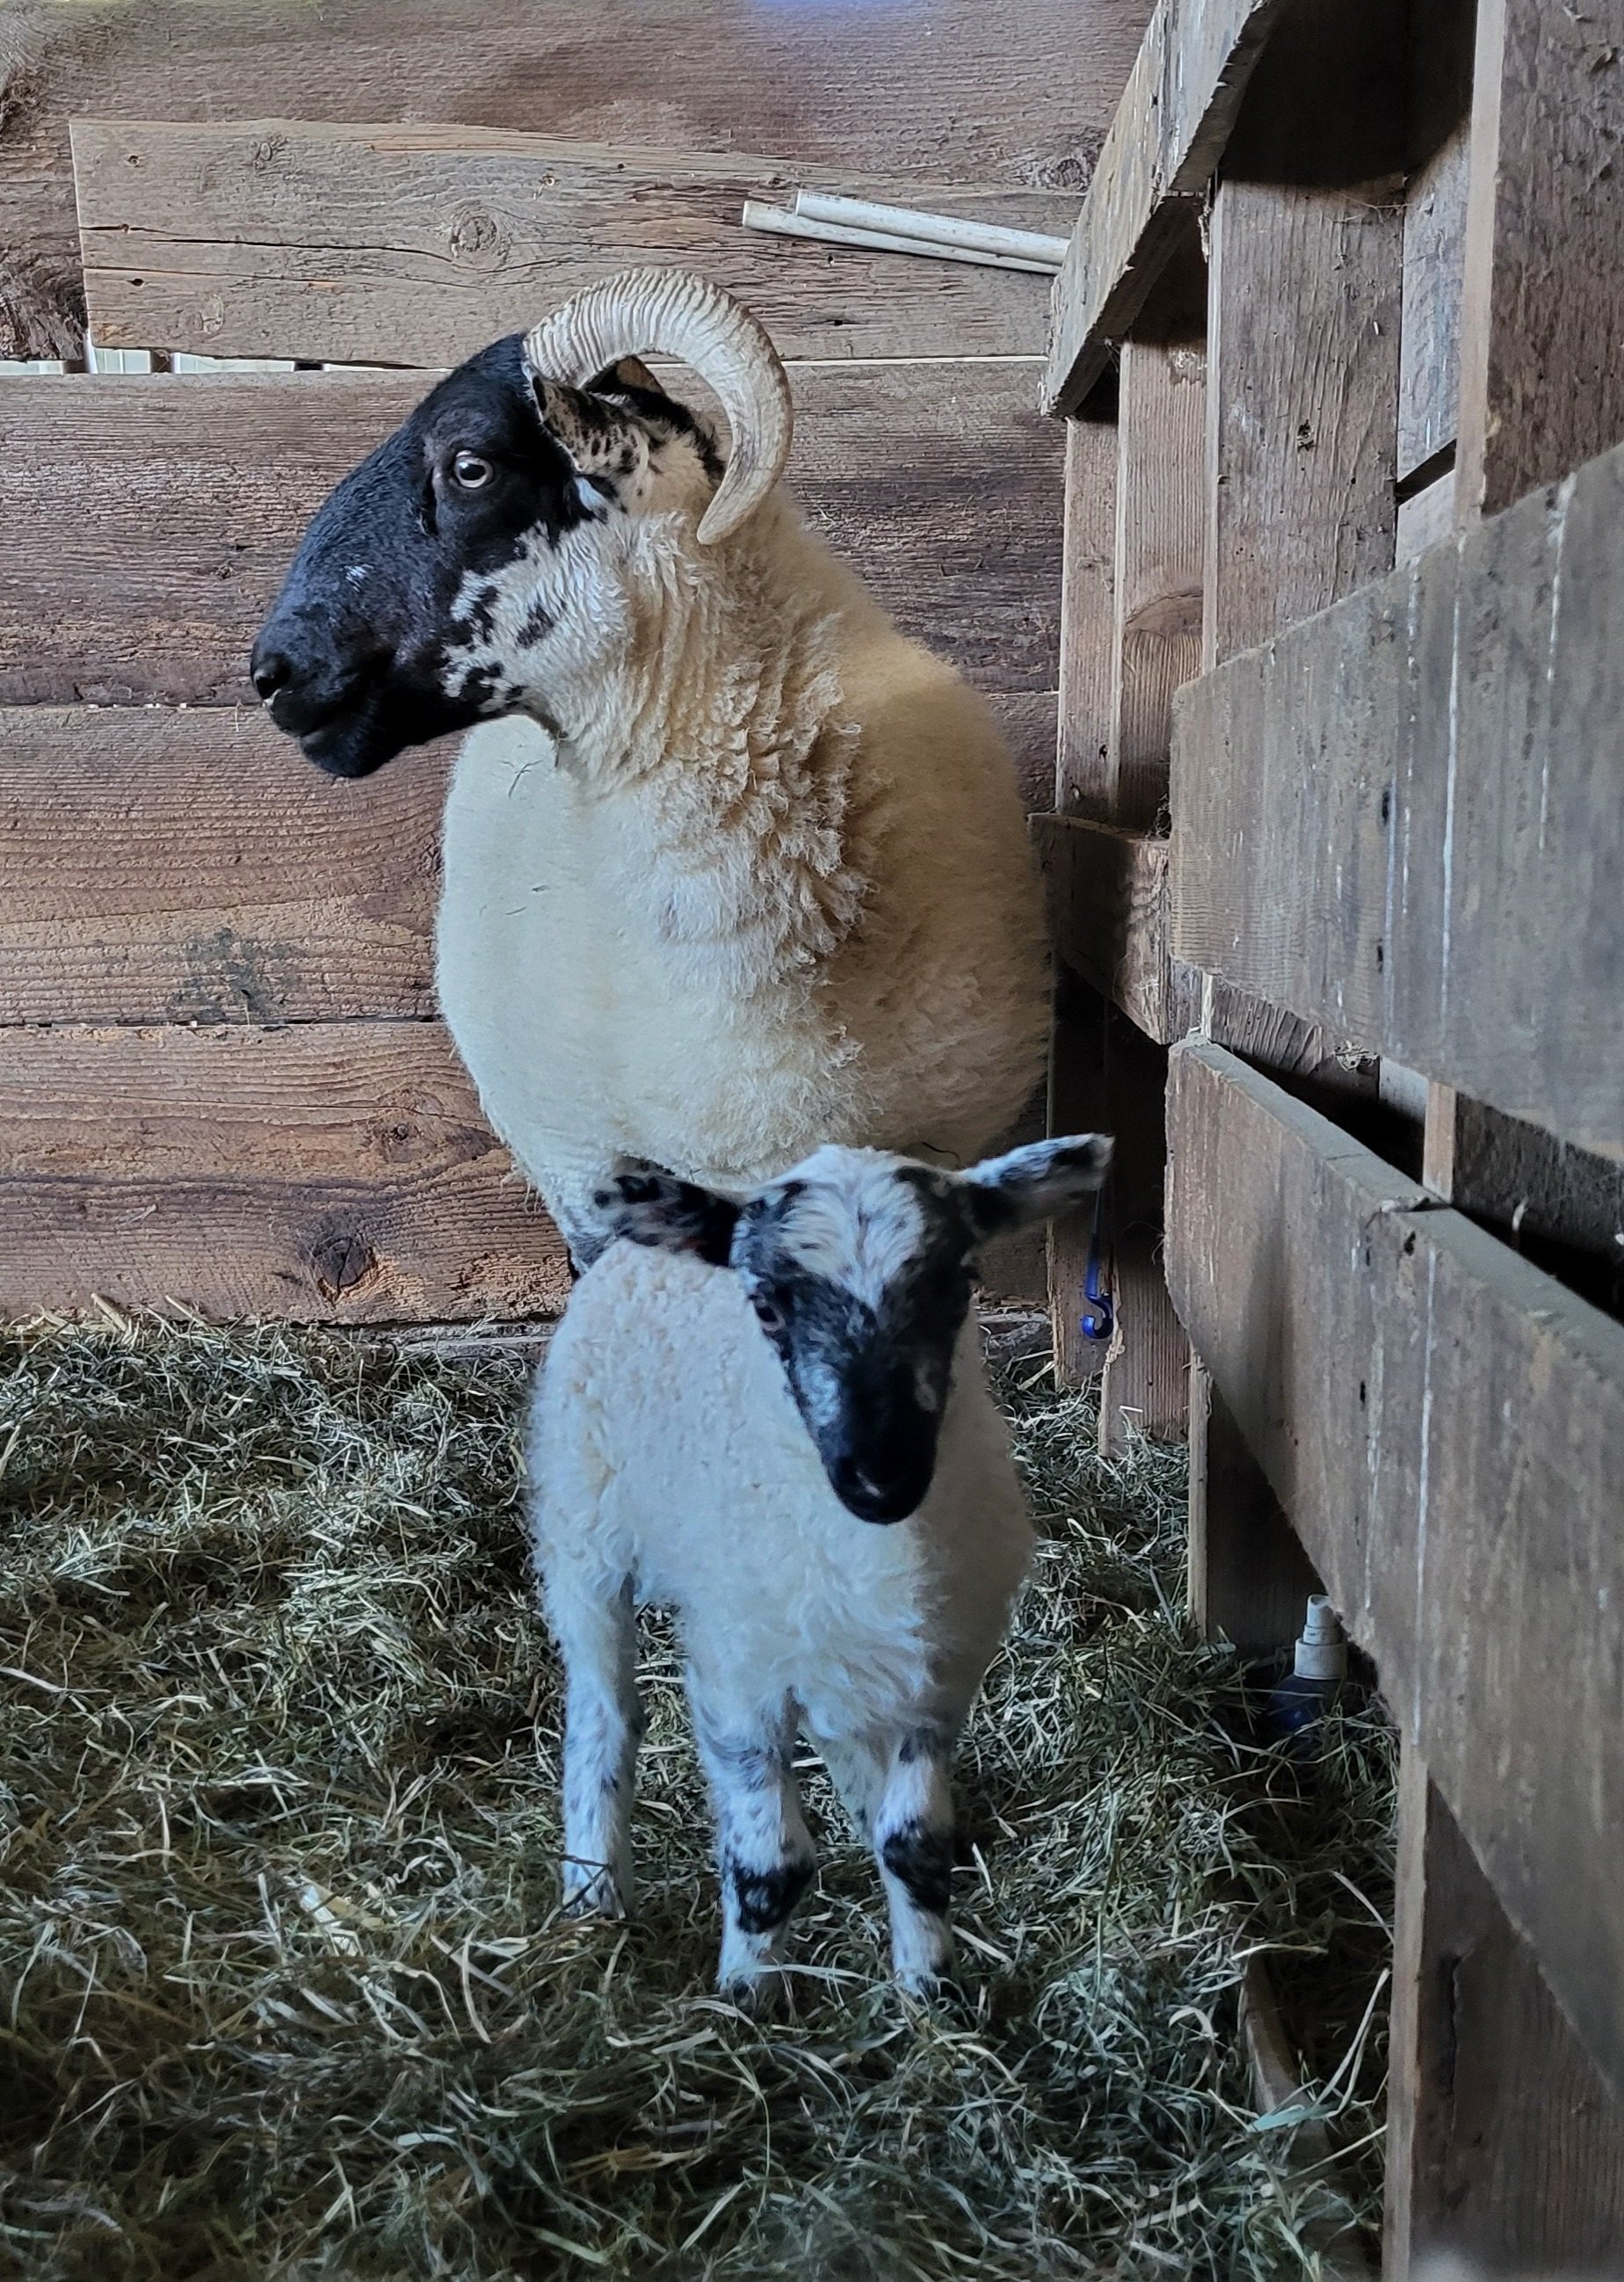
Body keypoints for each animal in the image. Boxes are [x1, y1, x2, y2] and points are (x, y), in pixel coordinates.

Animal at [527, 1129, 1112, 1999]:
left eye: (961, 1285)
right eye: (767, 1305)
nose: (881, 1475)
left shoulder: (941, 1680)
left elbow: (914, 1842)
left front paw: (929, 1987)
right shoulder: (737, 1674)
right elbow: (770, 1865)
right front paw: (746, 1996)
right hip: (583, 1529)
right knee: (606, 1713)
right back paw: (594, 1895)